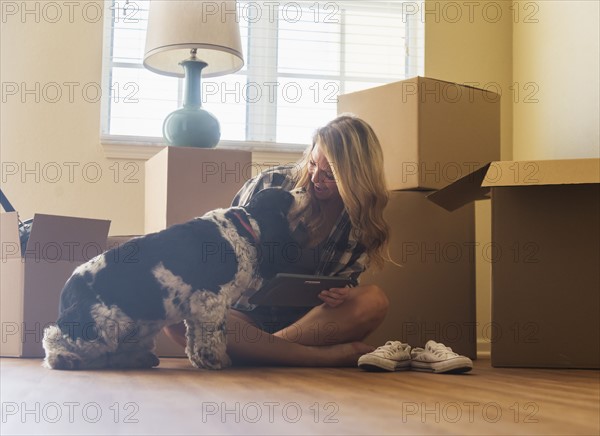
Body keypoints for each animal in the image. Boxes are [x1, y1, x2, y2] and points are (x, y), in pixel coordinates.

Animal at [43, 189, 300, 370]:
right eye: (289, 196)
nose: (302, 191)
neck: (243, 228)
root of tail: (66, 295)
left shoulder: (200, 306)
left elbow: (196, 336)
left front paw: (200, 360)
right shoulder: (213, 299)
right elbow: (214, 335)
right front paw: (216, 360)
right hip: (103, 325)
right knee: (55, 336)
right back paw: (63, 358)